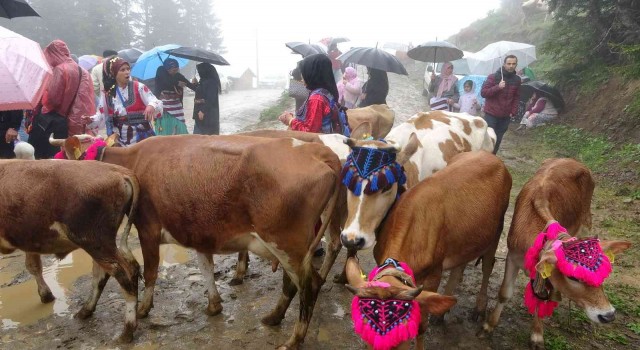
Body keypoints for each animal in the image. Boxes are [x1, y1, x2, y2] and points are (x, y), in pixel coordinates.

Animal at [0, 160, 139, 344]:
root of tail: (117, 170)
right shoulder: (29, 241)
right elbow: (33, 266)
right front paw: (46, 295)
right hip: (99, 245)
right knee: (109, 273)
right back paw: (85, 311)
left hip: (93, 241)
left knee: (124, 274)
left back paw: (127, 331)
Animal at [342, 152, 512, 348]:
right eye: (365, 336)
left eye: (403, 337)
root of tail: (490, 156)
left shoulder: (433, 274)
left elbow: (422, 326)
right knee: (460, 266)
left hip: (496, 231)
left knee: (487, 266)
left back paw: (479, 308)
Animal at [478, 159, 632, 350]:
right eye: (572, 277)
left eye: (602, 275)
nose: (608, 315)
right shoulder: (512, 257)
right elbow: (504, 293)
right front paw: (488, 326)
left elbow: (543, 299)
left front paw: (537, 335)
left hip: (586, 223)